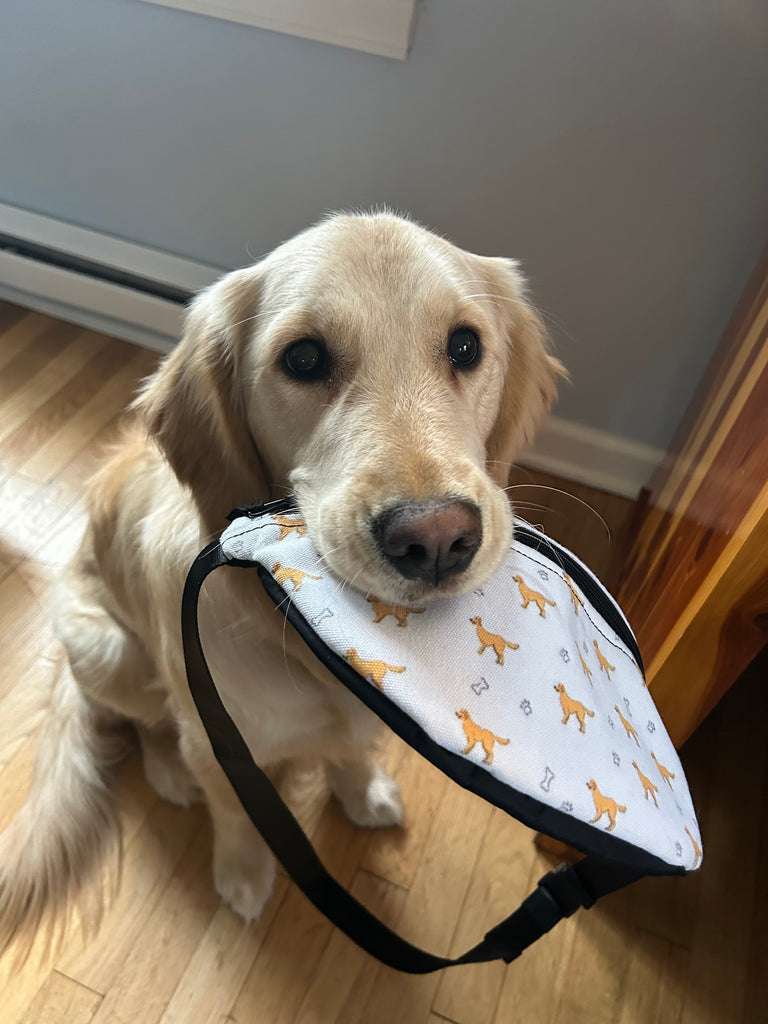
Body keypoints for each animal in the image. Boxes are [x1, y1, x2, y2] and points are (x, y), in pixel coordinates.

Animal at [0, 207, 565, 950]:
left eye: (466, 346)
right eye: (303, 359)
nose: (437, 540)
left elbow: (350, 753)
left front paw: (362, 793)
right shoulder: (218, 740)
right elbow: (237, 814)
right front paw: (242, 874)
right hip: (107, 649)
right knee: (146, 724)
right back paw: (169, 774)